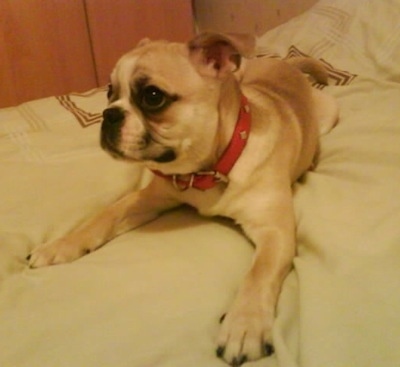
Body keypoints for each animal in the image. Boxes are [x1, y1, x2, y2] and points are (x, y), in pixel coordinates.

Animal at [28, 33, 340, 366]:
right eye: (110, 92)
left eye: (153, 96)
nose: (109, 114)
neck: (209, 169)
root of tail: (286, 64)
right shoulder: (147, 199)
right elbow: (103, 216)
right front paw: (61, 245)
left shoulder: (275, 232)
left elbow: (259, 274)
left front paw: (245, 325)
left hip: (328, 115)